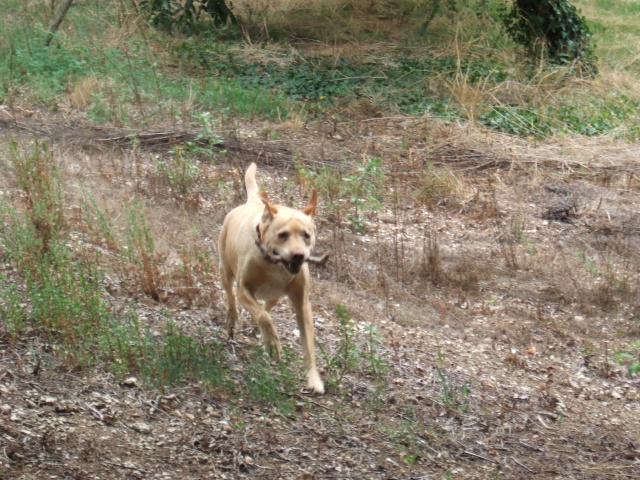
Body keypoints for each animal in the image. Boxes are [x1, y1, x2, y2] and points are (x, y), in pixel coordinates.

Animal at [219, 161, 328, 394]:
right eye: (282, 235)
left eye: (306, 235)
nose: (299, 255)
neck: (274, 266)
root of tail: (252, 202)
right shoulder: (244, 289)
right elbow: (263, 317)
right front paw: (272, 343)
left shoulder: (302, 303)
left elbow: (308, 345)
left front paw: (314, 379)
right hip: (225, 269)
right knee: (231, 295)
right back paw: (233, 318)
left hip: (276, 294)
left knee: (267, 305)